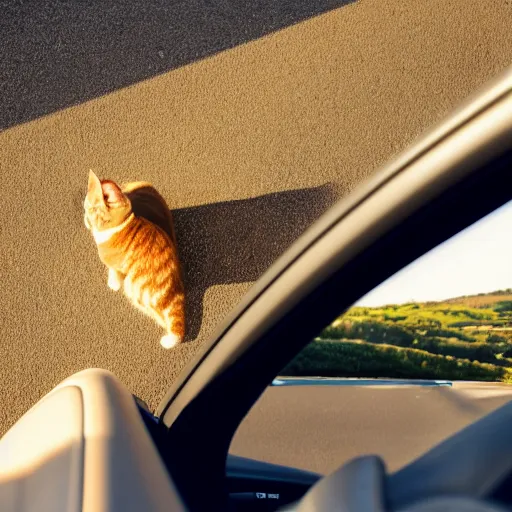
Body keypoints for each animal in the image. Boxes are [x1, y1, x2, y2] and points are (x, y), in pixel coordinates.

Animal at [84, 171, 186, 348]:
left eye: (88, 208)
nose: (84, 218)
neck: (122, 224)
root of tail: (175, 286)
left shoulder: (114, 265)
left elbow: (113, 273)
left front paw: (112, 284)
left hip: (132, 288)